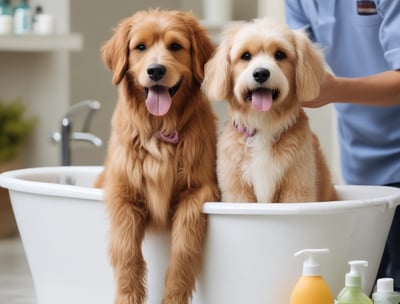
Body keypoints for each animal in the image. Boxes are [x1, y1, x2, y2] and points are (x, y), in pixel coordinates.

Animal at [95, 9, 220, 304]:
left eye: (175, 46)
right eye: (140, 47)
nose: (156, 70)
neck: (159, 129)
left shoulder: (199, 190)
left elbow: (183, 250)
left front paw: (173, 297)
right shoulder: (122, 192)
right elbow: (127, 251)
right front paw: (128, 296)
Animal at [203, 18, 338, 204]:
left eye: (280, 54)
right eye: (246, 55)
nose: (261, 73)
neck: (263, 123)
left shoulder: (297, 189)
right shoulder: (237, 191)